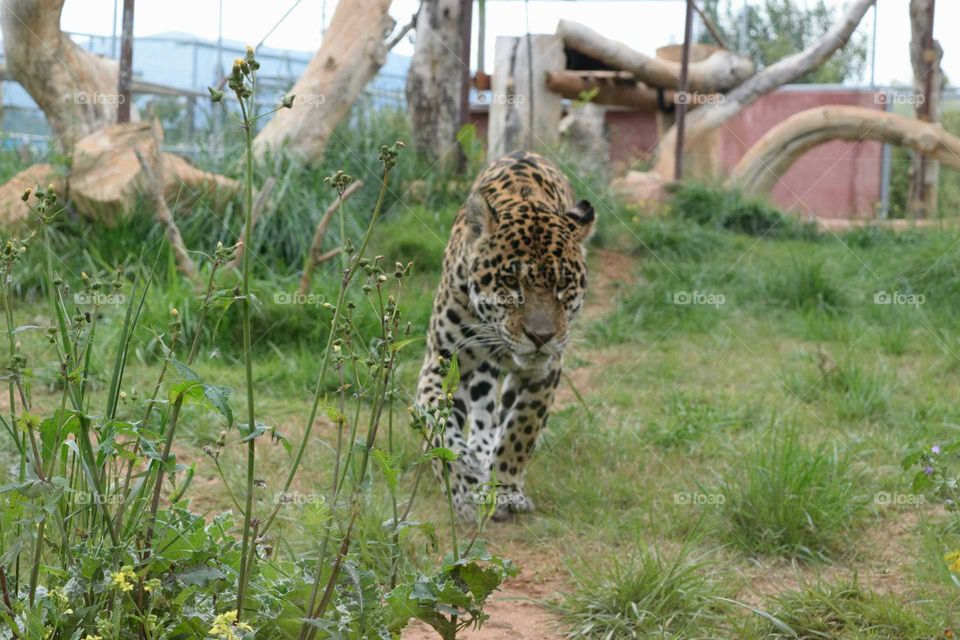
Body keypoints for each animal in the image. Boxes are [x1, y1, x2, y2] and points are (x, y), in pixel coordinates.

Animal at [416, 150, 595, 521]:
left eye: (564, 284)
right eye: (511, 282)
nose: (540, 336)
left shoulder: (544, 372)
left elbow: (520, 431)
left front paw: (507, 489)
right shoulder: (441, 362)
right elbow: (440, 430)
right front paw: (462, 488)